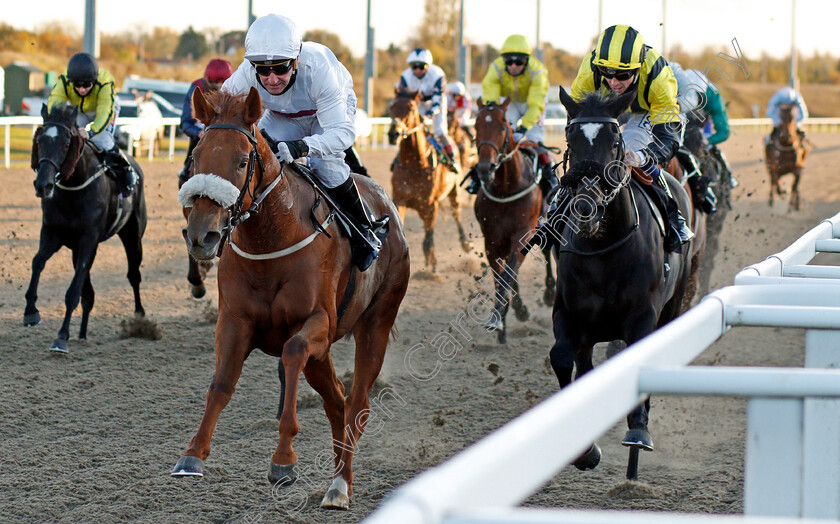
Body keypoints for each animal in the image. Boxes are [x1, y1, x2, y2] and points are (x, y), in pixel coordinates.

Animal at [25, 103, 148, 352]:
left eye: (65, 145)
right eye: (39, 141)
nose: (43, 185)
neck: (74, 187)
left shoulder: (88, 240)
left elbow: (73, 291)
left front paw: (61, 337)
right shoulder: (53, 233)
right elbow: (38, 262)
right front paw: (31, 312)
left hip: (132, 236)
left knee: (133, 275)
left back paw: (140, 317)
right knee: (89, 293)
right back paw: (82, 333)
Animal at [171, 88, 410, 510]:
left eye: (241, 161)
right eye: (196, 156)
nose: (202, 236)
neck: (271, 238)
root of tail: (390, 212)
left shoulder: (317, 323)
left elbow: (292, 352)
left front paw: (283, 461)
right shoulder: (235, 322)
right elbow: (220, 385)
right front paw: (193, 454)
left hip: (376, 324)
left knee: (357, 403)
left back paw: (340, 486)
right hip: (324, 355)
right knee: (337, 401)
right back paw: (338, 475)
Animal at [388, 87, 472, 272]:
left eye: (411, 107)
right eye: (392, 107)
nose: (393, 134)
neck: (414, 164)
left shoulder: (431, 205)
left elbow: (428, 239)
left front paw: (432, 267)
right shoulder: (400, 200)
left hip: (454, 190)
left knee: (456, 214)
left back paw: (465, 243)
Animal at [476, 97, 556, 344]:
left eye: (503, 126)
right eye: (476, 125)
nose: (485, 168)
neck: (505, 189)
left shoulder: (523, 234)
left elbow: (508, 274)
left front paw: (499, 318)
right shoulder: (492, 241)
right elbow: (502, 276)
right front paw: (502, 321)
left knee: (546, 252)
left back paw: (549, 293)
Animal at [548, 89, 692, 478]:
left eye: (614, 142)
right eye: (570, 139)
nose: (586, 207)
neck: (603, 250)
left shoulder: (643, 316)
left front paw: (638, 432)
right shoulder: (569, 313)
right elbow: (562, 358)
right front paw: (585, 449)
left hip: (673, 305)